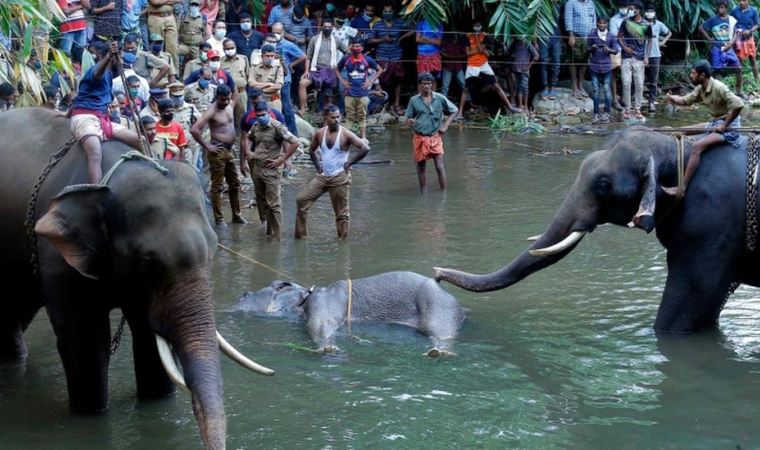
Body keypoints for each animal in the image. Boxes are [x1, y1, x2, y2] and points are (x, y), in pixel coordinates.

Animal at [0, 107, 274, 448]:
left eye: (212, 249)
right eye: (147, 260)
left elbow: (148, 338)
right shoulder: (56, 257)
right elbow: (86, 344)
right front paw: (91, 414)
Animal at [238, 270, 466, 356]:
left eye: (246, 294)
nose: (242, 294)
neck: (305, 295)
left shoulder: (321, 305)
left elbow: (319, 327)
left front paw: (328, 348)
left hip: (438, 306)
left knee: (440, 333)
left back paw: (438, 352)